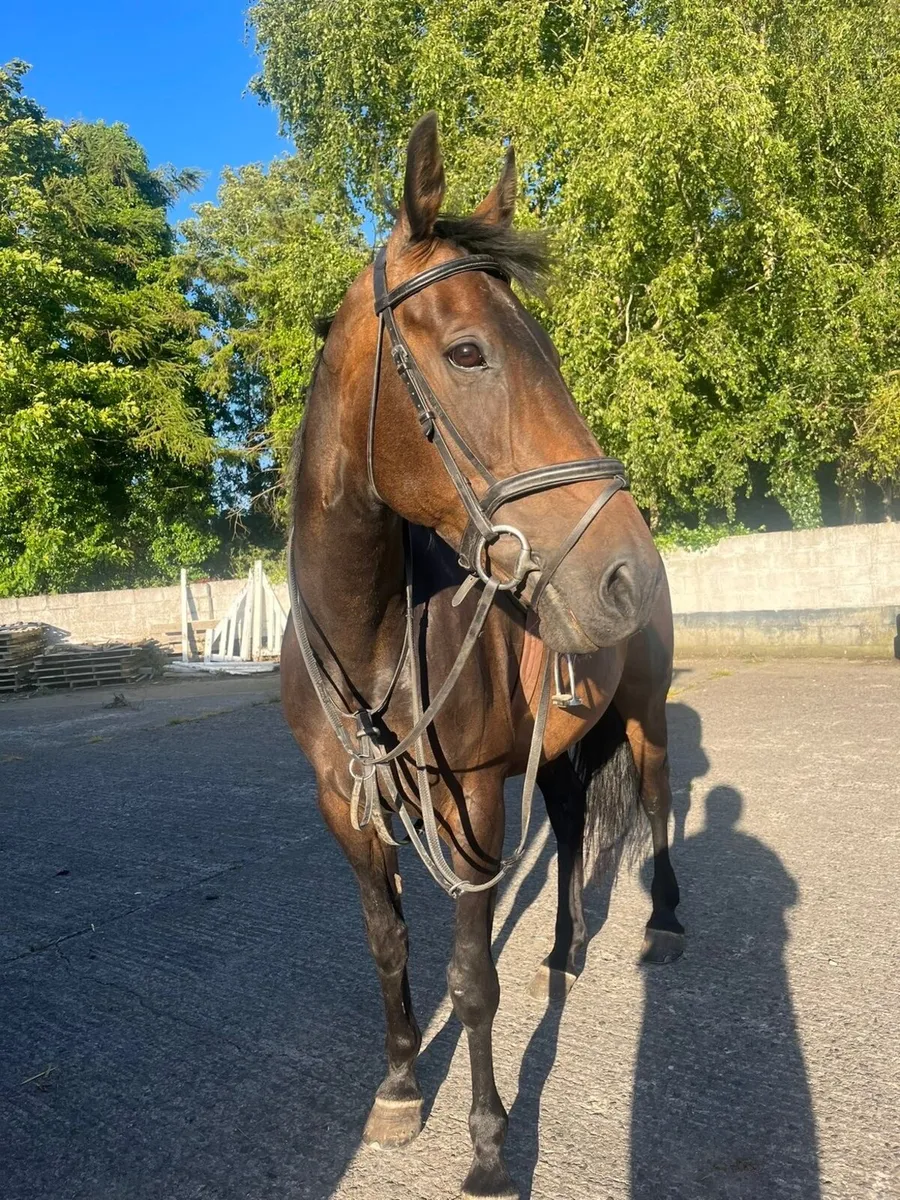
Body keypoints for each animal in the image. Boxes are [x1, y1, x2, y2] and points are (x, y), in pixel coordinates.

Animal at [281, 112, 683, 1200]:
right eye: (468, 352)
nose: (624, 571)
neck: (375, 632)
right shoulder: (347, 805)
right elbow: (388, 946)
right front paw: (399, 1091)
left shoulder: (468, 809)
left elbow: (471, 981)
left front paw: (492, 1148)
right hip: (560, 748)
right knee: (578, 824)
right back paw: (565, 952)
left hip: (645, 714)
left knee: (658, 806)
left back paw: (666, 925)